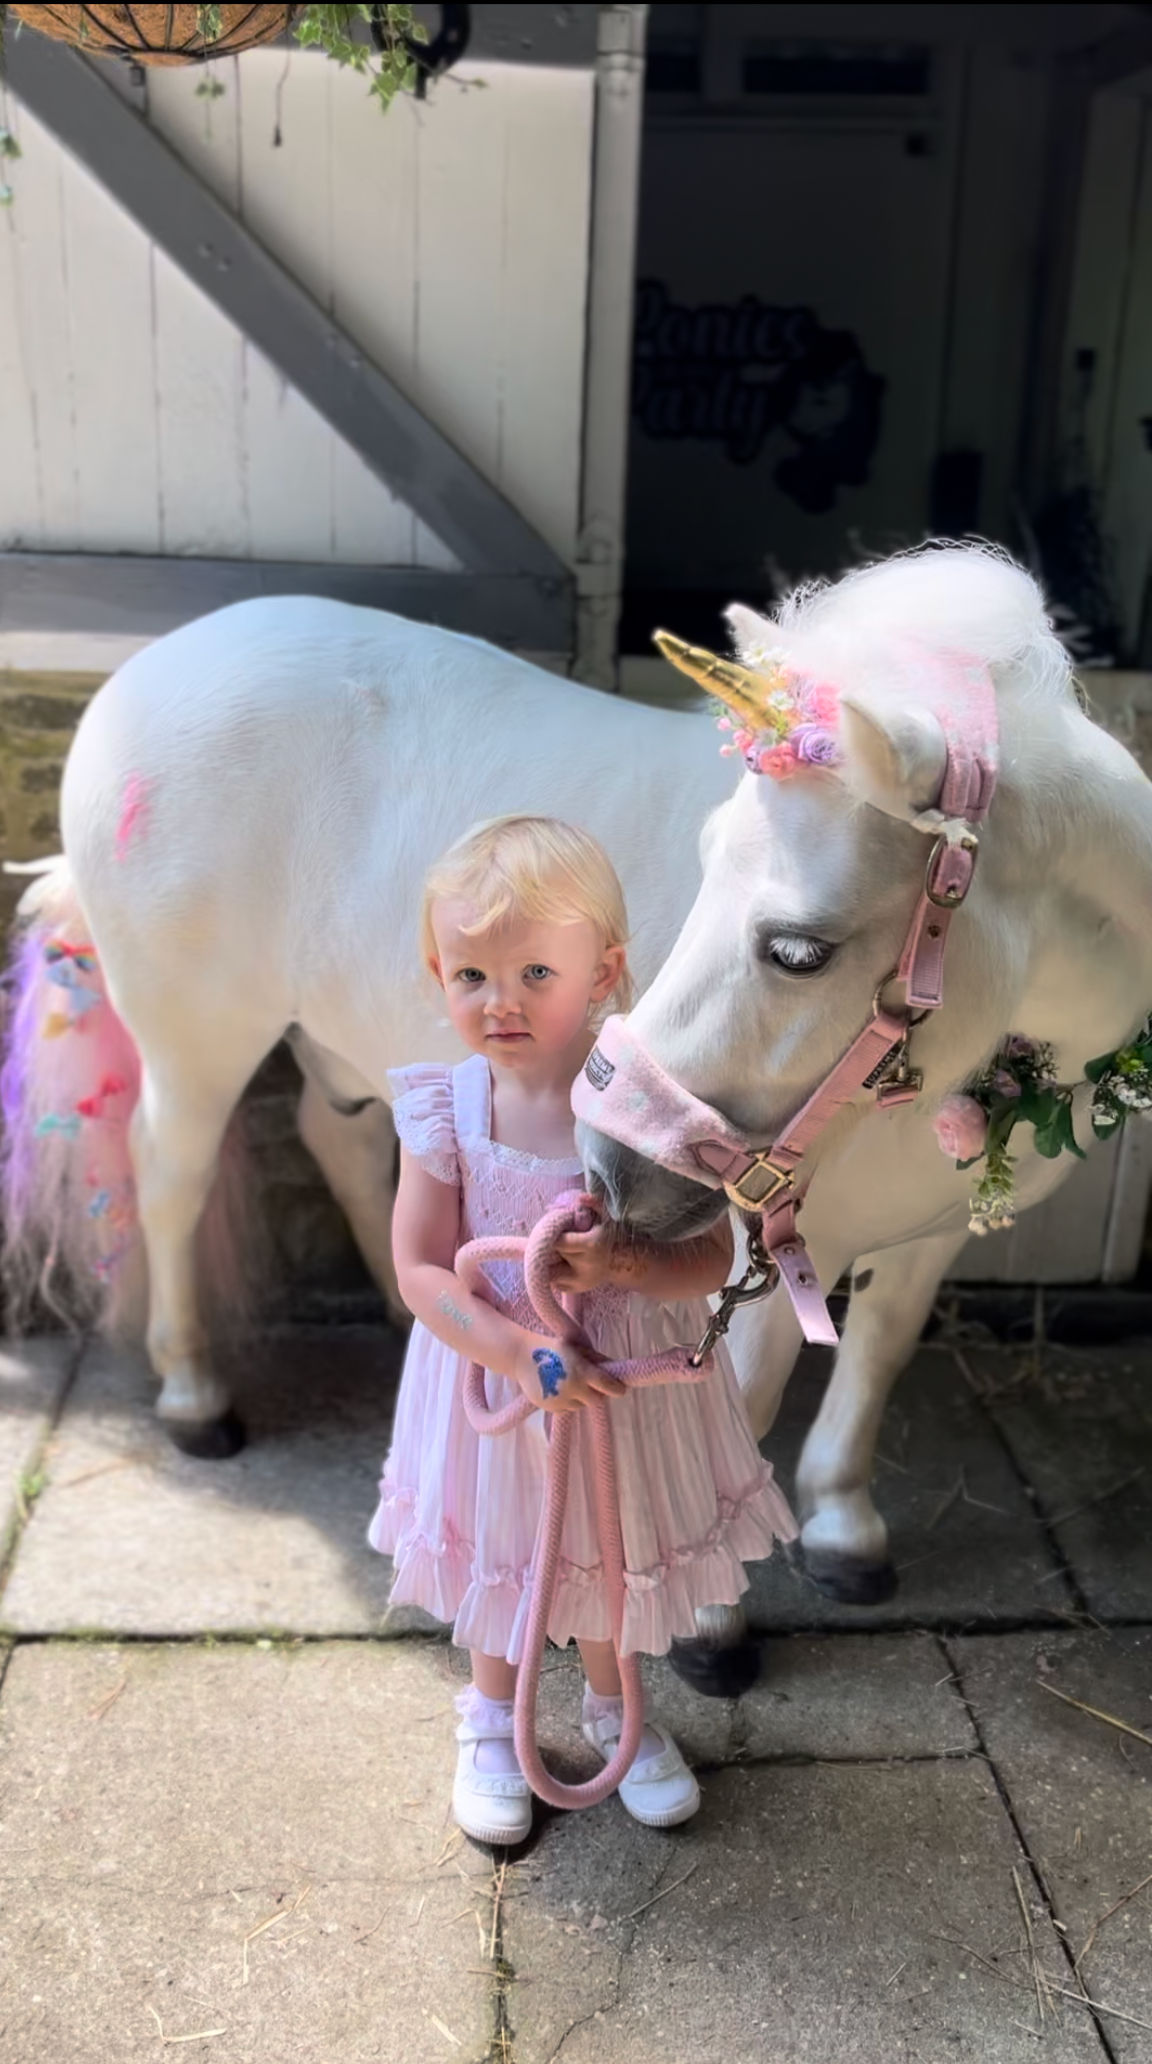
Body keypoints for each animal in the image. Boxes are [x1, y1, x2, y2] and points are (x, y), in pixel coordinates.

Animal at [575, 542, 1152, 1639]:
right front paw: (708, 1622)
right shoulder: (768, 1251)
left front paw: (840, 1529)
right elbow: (739, 1401)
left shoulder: (926, 1231)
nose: (608, 1159)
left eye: (799, 951)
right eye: (703, 857)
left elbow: (878, 1349)